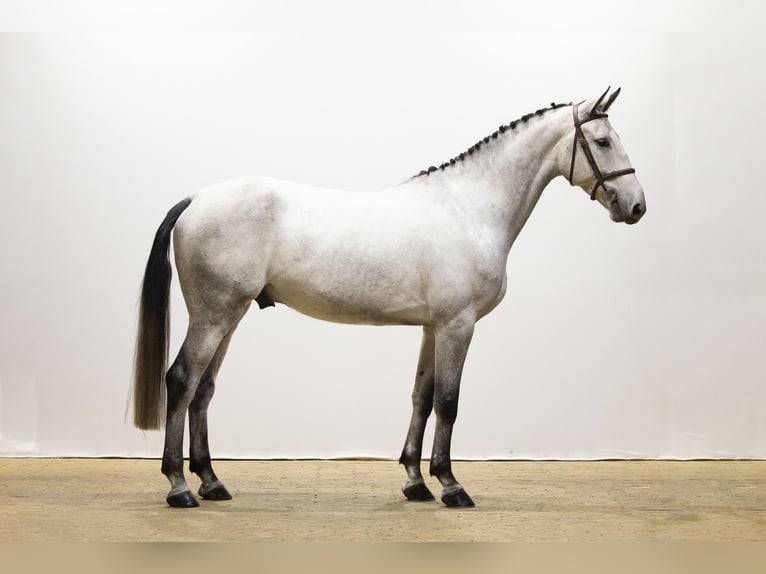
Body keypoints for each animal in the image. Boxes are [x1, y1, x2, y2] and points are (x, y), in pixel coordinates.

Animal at [131, 87, 645, 508]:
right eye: (603, 141)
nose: (636, 206)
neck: (470, 210)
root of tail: (196, 199)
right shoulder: (458, 324)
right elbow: (449, 401)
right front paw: (451, 486)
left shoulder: (433, 327)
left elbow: (421, 397)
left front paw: (416, 482)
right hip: (213, 316)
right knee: (181, 380)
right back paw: (179, 487)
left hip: (229, 317)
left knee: (203, 390)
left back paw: (211, 482)